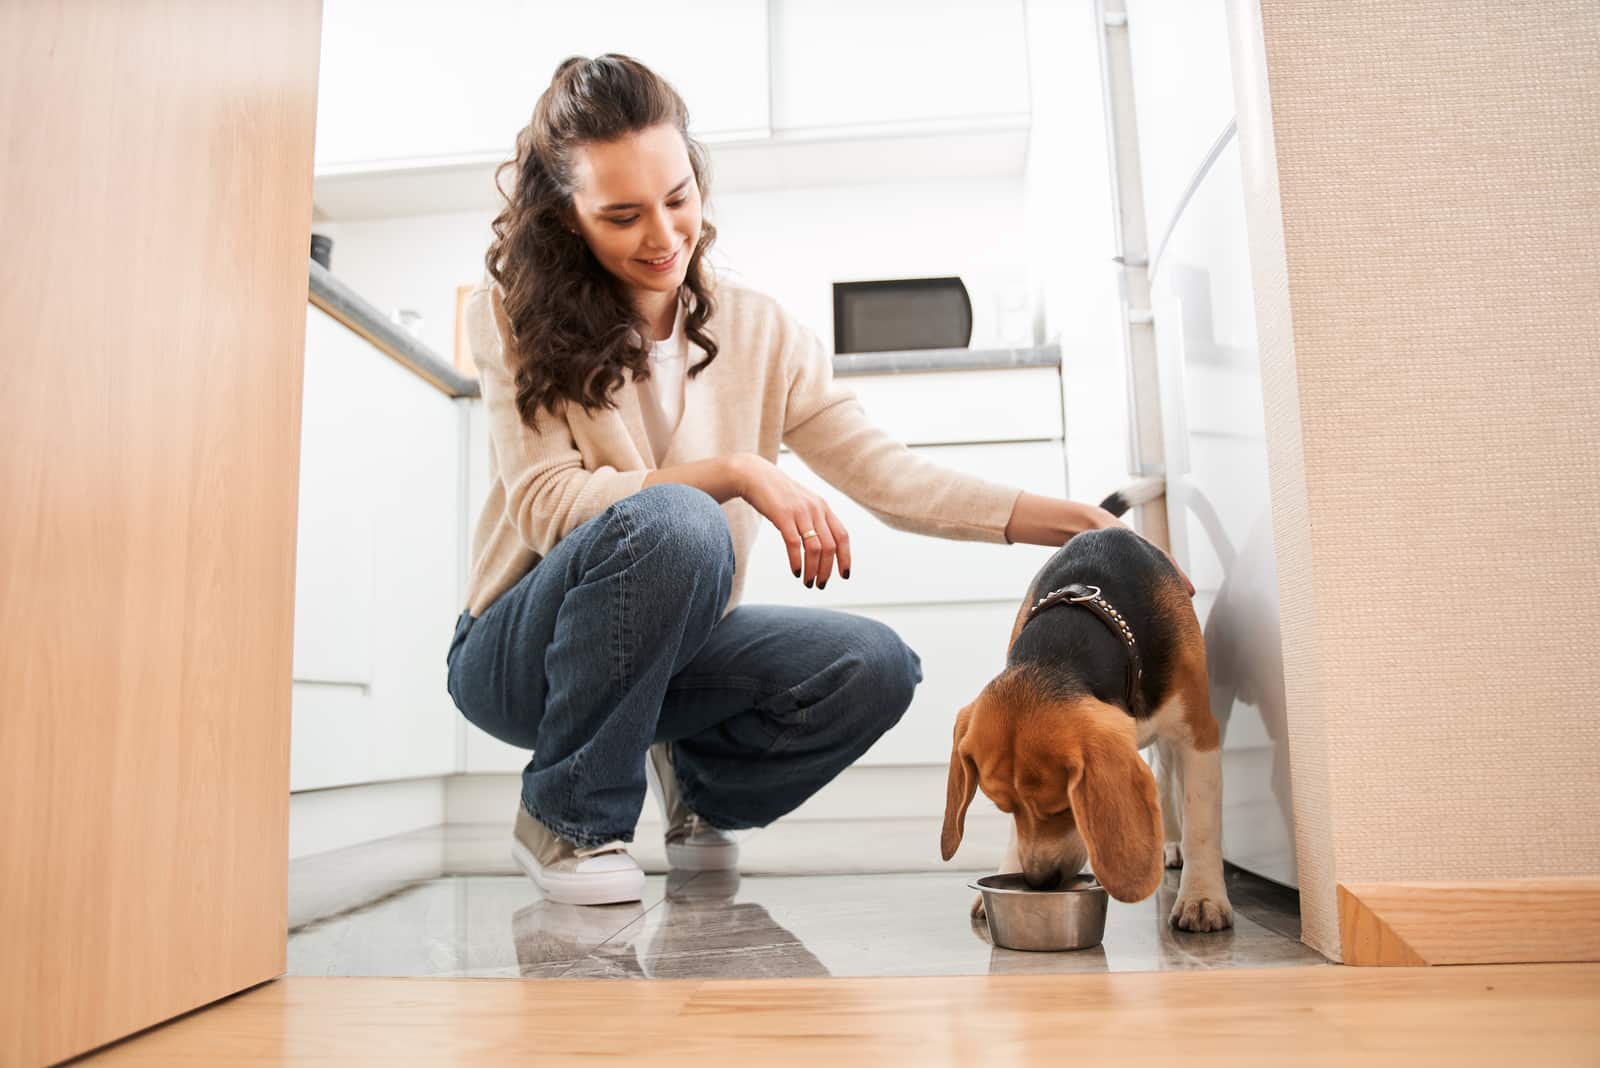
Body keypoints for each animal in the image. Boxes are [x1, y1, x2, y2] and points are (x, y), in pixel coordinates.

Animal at [940, 479, 1228, 927]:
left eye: (1064, 808)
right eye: (1004, 807)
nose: (1039, 882)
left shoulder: (1199, 734)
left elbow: (1201, 819)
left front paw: (1201, 898)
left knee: (1167, 774)